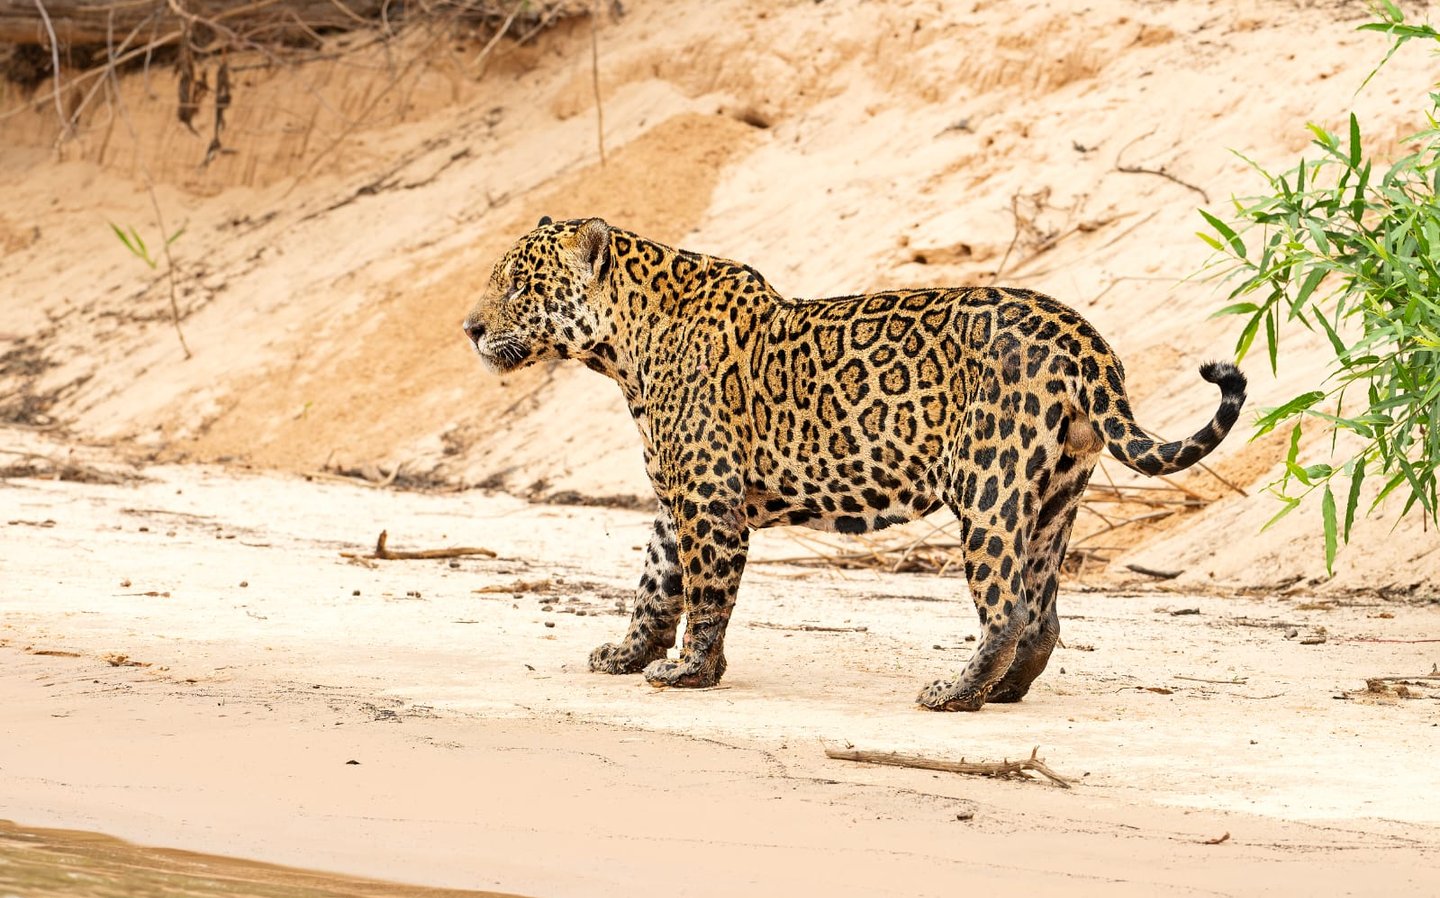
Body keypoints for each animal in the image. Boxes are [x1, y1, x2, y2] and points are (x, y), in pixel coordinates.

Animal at [462, 216, 1246, 711]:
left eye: (520, 287)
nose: (468, 328)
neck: (623, 346)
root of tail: (1084, 336)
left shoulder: (709, 500)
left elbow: (707, 592)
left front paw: (690, 671)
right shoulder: (673, 498)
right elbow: (656, 586)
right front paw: (628, 655)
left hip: (987, 485)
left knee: (1006, 607)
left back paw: (956, 695)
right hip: (1056, 495)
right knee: (1043, 614)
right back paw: (1004, 691)